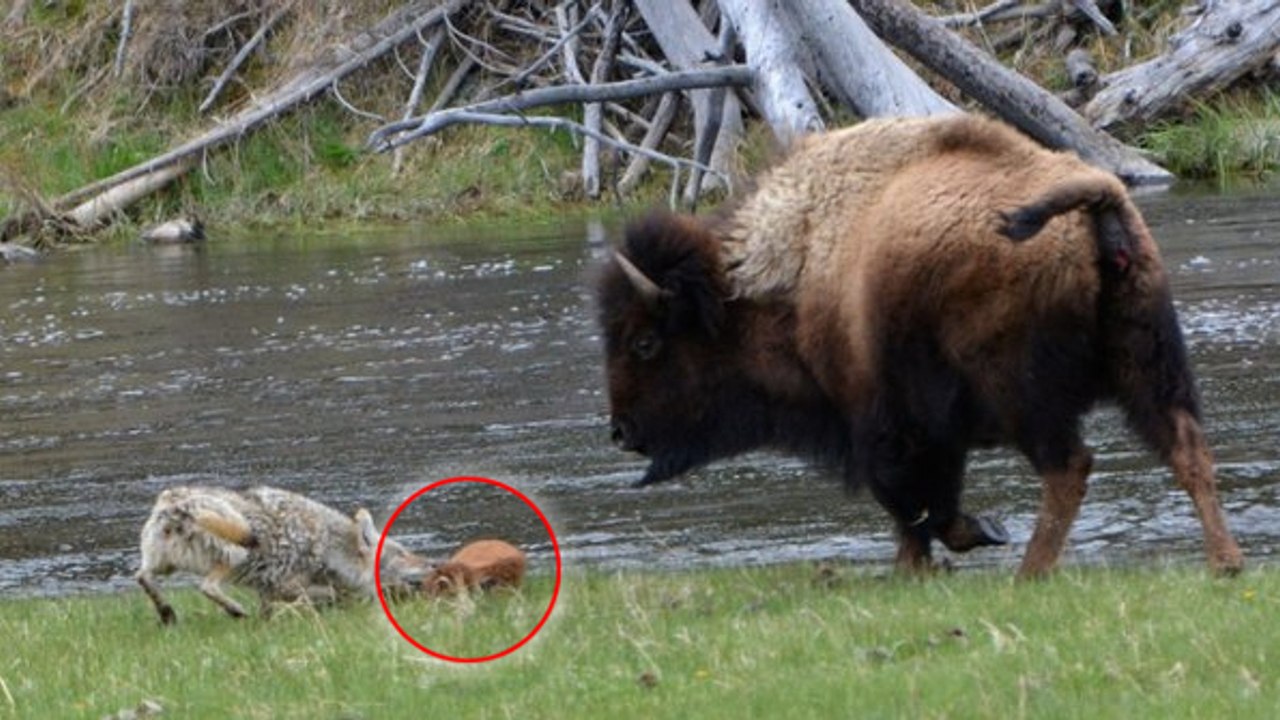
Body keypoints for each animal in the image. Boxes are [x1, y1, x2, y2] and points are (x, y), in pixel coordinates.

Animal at [597, 114, 1243, 577]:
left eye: (646, 342)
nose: (620, 432)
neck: (798, 262)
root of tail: (1099, 201)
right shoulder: (932, 435)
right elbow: (931, 505)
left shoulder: (883, 427)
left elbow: (914, 506)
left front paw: (940, 555)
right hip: (1148, 366)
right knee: (1187, 451)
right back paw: (1226, 564)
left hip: (1026, 396)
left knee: (1069, 468)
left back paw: (1029, 574)